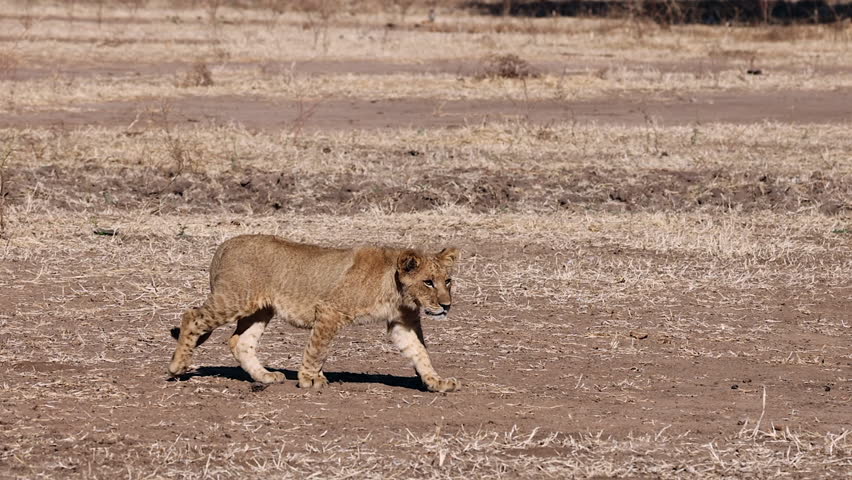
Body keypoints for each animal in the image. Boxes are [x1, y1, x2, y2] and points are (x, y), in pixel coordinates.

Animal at [168, 234, 460, 393]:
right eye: (428, 282)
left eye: (447, 281)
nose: (446, 306)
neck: (395, 289)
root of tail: (225, 244)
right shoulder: (330, 311)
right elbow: (318, 348)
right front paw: (309, 378)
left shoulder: (402, 323)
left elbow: (420, 353)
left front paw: (436, 381)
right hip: (234, 299)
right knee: (191, 316)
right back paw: (177, 367)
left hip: (260, 310)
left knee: (240, 342)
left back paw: (265, 376)